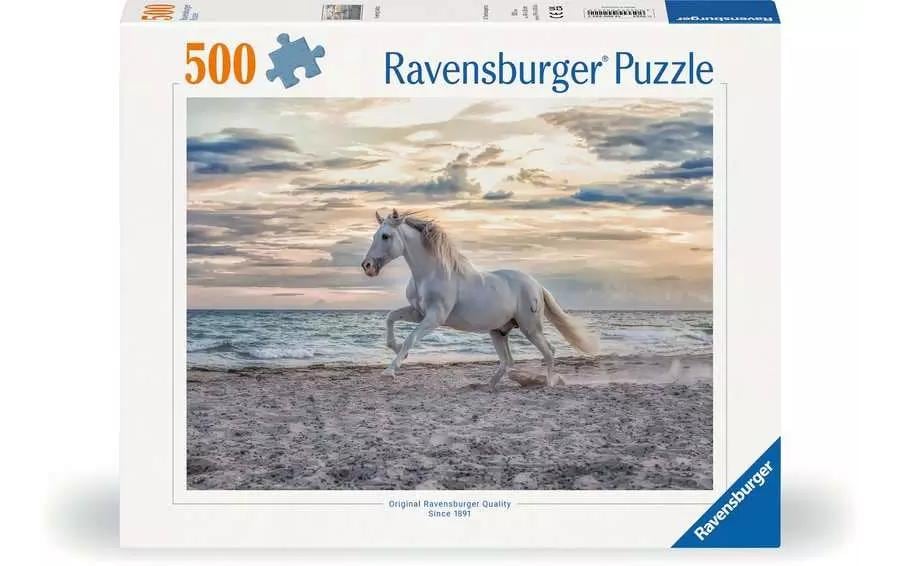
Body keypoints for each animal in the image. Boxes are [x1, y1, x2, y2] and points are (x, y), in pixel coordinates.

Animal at [361, 209, 600, 390]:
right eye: (373, 236)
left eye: (385, 236)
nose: (367, 266)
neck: (431, 273)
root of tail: (537, 286)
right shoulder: (418, 312)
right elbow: (390, 318)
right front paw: (396, 349)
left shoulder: (434, 317)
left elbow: (411, 338)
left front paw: (390, 371)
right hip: (498, 331)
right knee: (507, 361)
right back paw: (487, 386)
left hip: (530, 328)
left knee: (549, 352)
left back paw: (549, 384)